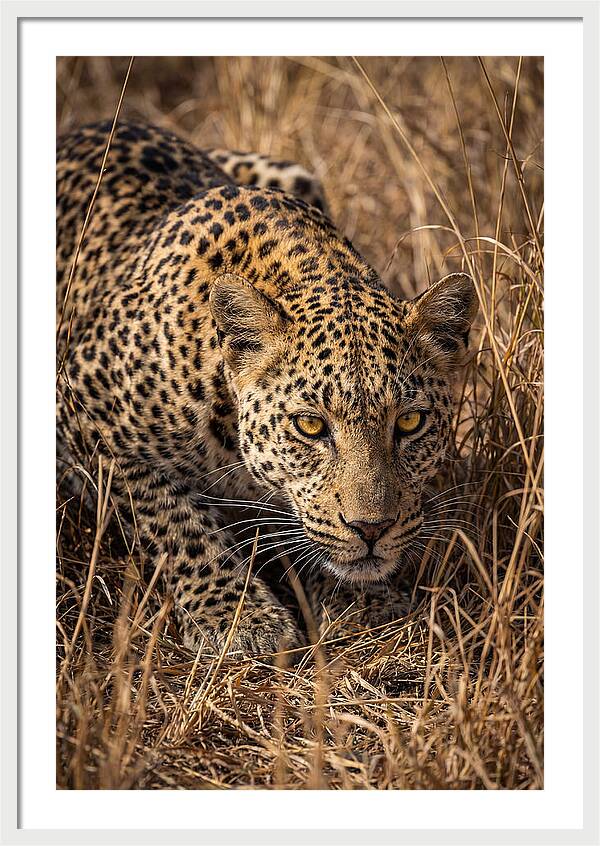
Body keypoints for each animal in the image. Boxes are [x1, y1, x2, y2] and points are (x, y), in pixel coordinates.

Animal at [56, 119, 477, 659]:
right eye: (310, 426)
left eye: (409, 421)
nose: (371, 529)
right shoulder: (82, 405)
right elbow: (172, 520)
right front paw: (238, 618)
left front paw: (363, 603)